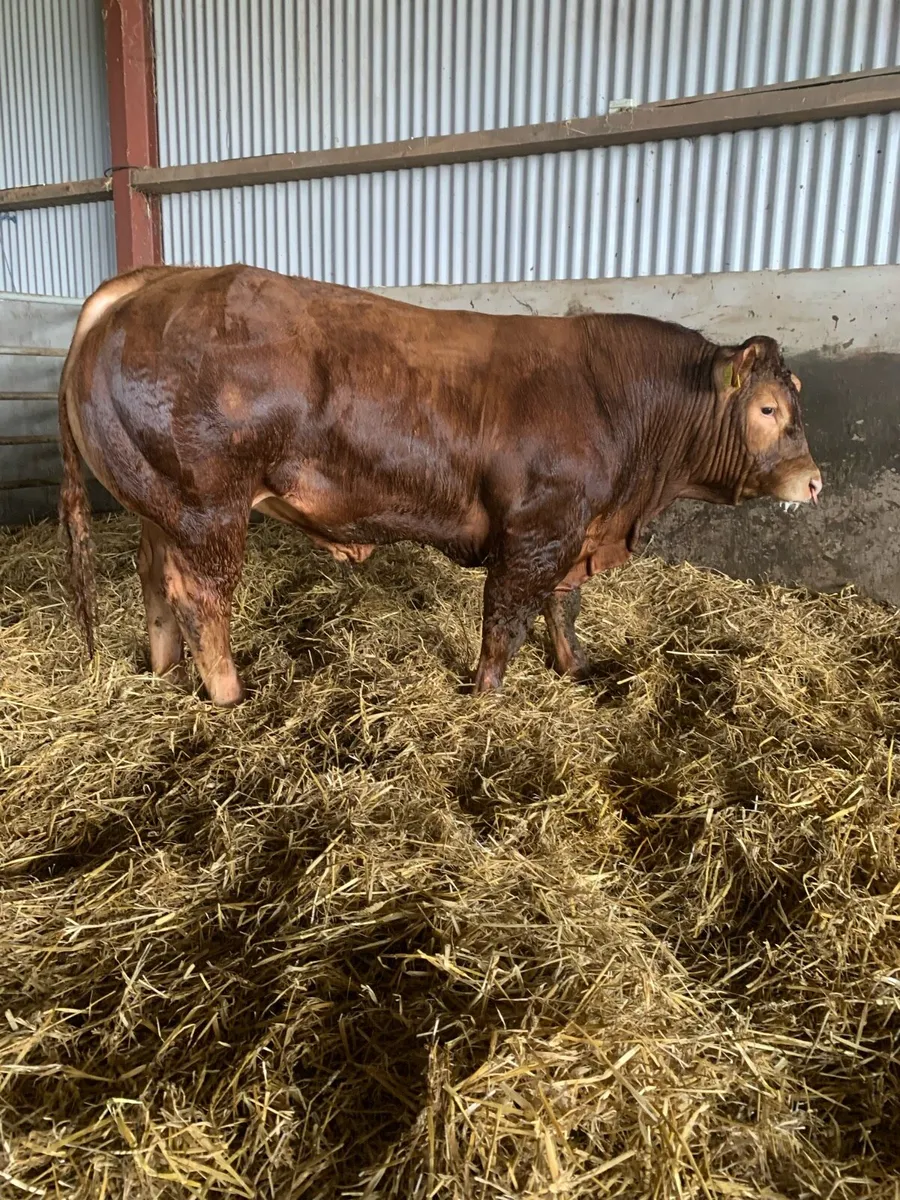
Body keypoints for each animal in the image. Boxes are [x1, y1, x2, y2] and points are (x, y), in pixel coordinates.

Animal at [58, 264, 822, 705]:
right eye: (766, 409)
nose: (814, 481)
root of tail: (157, 279)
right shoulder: (538, 529)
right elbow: (506, 618)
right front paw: (486, 697)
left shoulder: (574, 527)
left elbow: (563, 607)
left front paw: (575, 668)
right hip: (209, 507)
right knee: (200, 597)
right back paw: (229, 695)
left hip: (162, 505)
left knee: (154, 580)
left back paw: (162, 672)